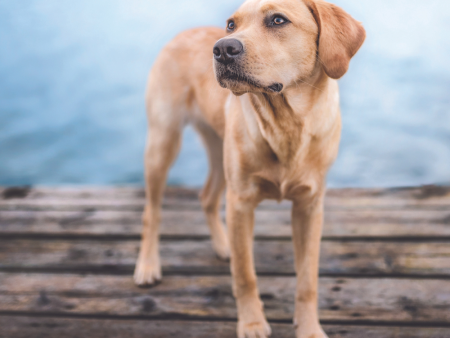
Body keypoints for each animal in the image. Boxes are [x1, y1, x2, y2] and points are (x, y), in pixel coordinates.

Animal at [134, 0, 366, 336]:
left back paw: (223, 245)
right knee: (152, 211)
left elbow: (307, 279)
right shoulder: (241, 203)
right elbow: (245, 275)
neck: (285, 125)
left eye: (278, 20)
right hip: (163, 141)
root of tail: (184, 31)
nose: (222, 49)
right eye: (231, 24)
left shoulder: (310, 206)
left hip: (219, 152)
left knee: (207, 197)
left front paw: (309, 327)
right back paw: (148, 266)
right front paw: (252, 322)